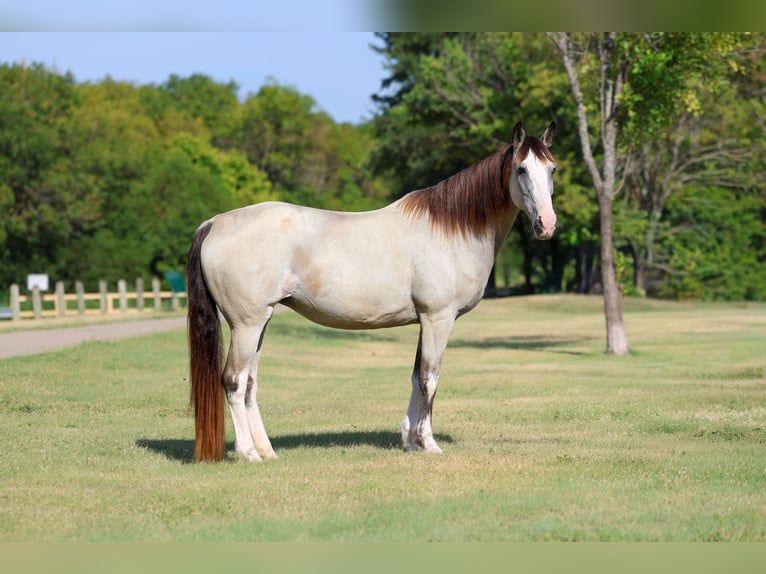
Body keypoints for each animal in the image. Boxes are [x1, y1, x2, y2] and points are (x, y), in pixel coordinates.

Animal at [186, 121, 558, 462]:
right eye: (521, 169)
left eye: (552, 169)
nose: (547, 224)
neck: (451, 229)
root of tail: (215, 223)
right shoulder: (438, 318)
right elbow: (430, 379)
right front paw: (428, 443)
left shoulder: (424, 320)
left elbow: (415, 376)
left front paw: (410, 440)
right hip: (246, 325)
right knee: (233, 381)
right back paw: (249, 453)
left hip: (259, 324)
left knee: (250, 384)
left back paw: (267, 451)